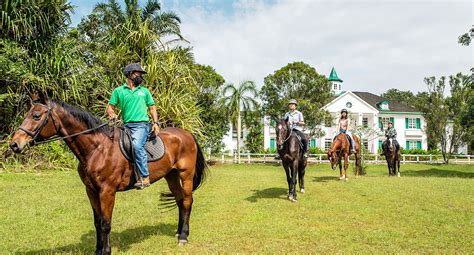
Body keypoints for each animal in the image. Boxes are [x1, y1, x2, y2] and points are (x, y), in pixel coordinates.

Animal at [9, 94, 207, 255]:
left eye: (36, 115)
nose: (14, 144)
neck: (97, 149)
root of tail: (187, 134)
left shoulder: (107, 192)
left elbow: (105, 224)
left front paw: (106, 251)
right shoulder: (91, 191)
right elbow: (97, 223)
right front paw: (97, 250)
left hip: (185, 175)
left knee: (187, 201)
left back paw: (184, 237)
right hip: (171, 175)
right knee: (180, 200)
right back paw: (178, 233)